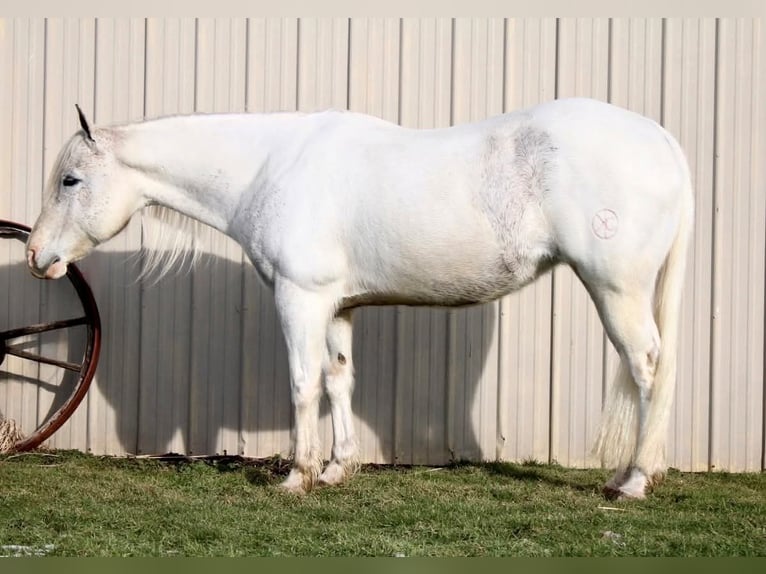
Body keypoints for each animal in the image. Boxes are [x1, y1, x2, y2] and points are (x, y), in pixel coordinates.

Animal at [25, 98, 696, 500]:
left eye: (71, 180)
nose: (36, 256)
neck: (270, 167)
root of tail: (660, 139)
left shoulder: (298, 299)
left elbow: (303, 384)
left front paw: (296, 477)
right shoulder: (337, 306)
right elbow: (339, 379)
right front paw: (336, 468)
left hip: (617, 290)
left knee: (649, 370)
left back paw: (634, 480)